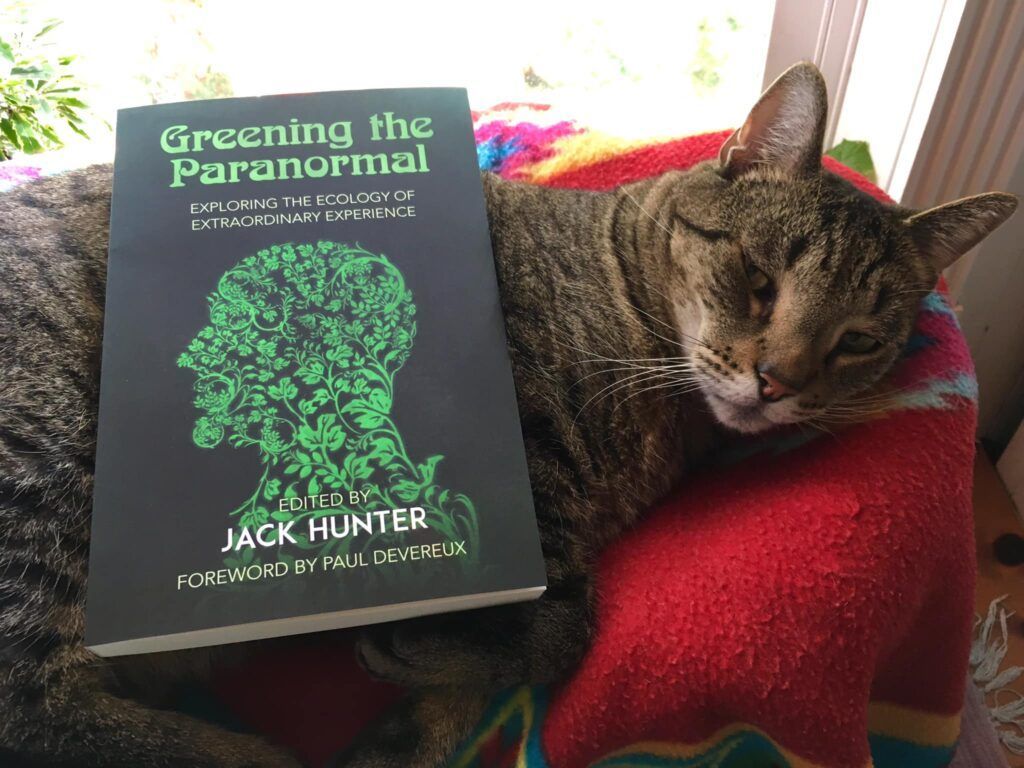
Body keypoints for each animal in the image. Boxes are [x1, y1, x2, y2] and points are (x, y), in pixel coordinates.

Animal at [0, 63, 1015, 765]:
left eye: (858, 341)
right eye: (759, 281)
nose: (780, 383)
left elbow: (546, 631)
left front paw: (415, 711)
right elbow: (569, 625)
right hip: (46, 471)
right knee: (35, 707)